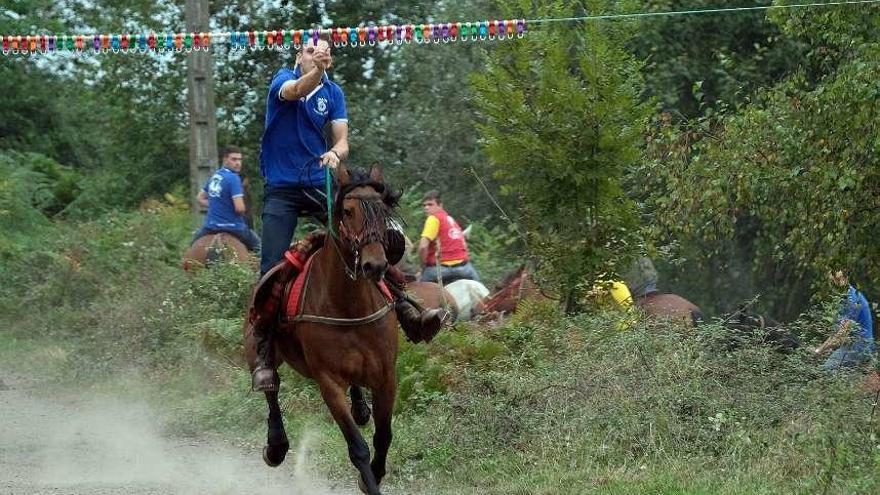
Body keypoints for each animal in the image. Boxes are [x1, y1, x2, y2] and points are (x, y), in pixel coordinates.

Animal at [244, 165, 402, 494]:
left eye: (383, 212)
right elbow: (358, 448)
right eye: (347, 211)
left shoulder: (386, 376)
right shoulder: (328, 382)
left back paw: (360, 408)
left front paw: (374, 474)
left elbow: (383, 436)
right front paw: (369, 480)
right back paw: (276, 445)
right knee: (271, 389)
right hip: (257, 349)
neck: (350, 306)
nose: (375, 265)